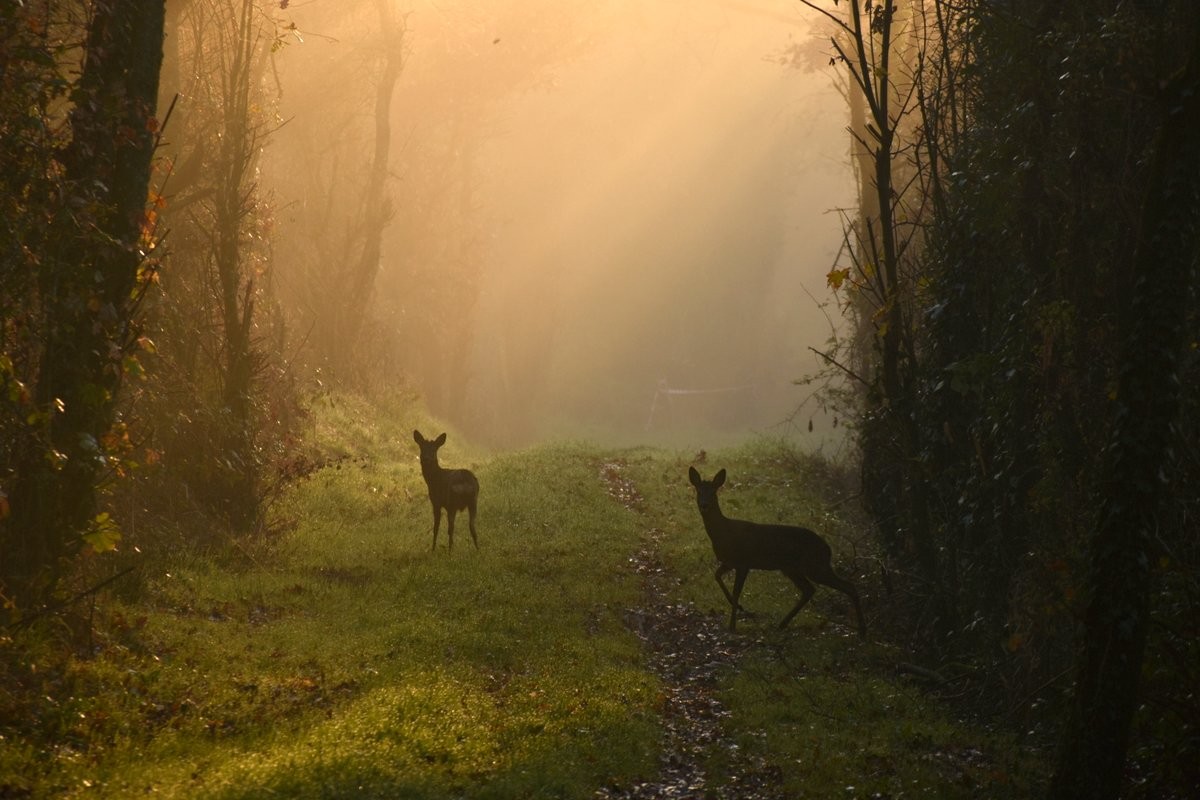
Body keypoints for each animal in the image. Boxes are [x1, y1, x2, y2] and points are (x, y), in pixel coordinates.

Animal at [686, 465, 864, 633]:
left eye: (713, 492)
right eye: (699, 491)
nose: (704, 505)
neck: (723, 533)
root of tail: (828, 549)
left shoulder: (744, 562)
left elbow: (737, 591)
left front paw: (733, 625)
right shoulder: (729, 562)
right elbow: (717, 576)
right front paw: (740, 609)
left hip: (814, 565)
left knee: (848, 586)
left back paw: (862, 630)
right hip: (792, 568)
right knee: (809, 589)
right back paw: (782, 624)